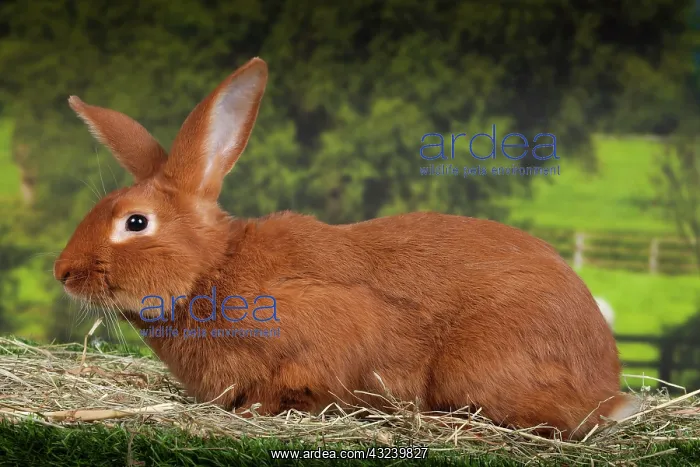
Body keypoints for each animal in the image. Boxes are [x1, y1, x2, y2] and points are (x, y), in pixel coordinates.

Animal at [54, 57, 640, 440]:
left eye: (135, 222)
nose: (62, 272)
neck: (210, 270)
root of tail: (606, 389)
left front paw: (258, 415)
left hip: (483, 365)